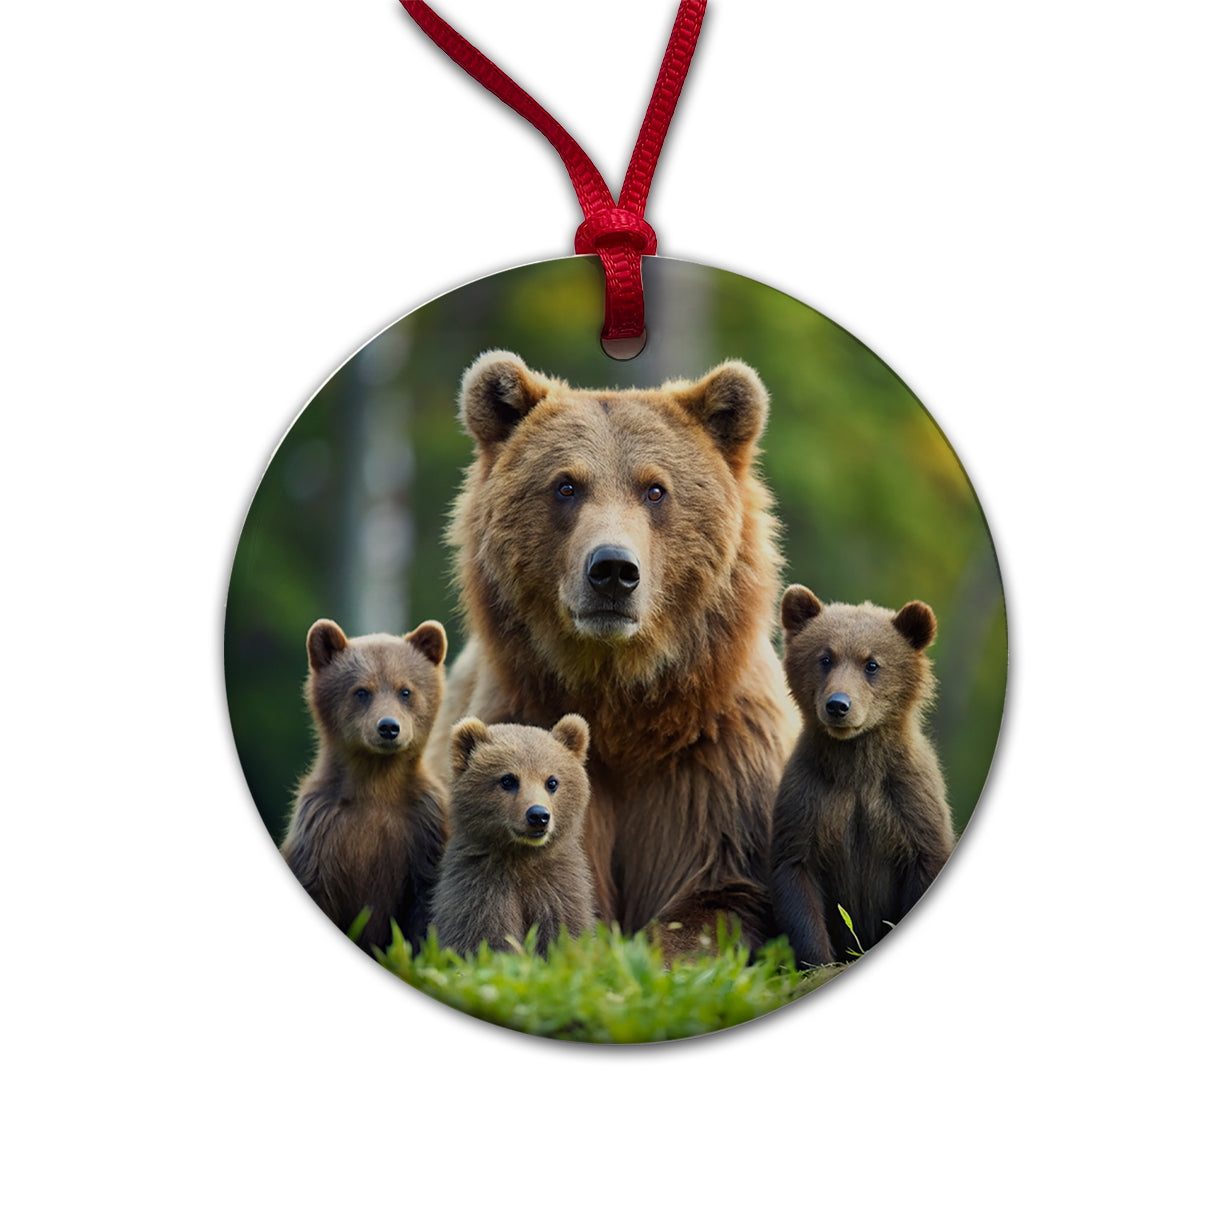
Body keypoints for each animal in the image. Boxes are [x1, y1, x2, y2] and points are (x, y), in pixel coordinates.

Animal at [280, 617, 449, 955]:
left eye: (405, 690)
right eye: (361, 691)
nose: (388, 727)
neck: (376, 783)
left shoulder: (424, 834)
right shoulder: (321, 835)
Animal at [432, 714, 596, 956]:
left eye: (552, 782)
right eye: (508, 779)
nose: (538, 815)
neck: (521, 855)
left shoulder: (558, 890)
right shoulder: (480, 889)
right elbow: (483, 938)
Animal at [770, 585, 956, 966]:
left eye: (872, 664)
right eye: (825, 658)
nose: (838, 705)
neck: (855, 765)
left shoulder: (908, 802)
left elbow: (925, 860)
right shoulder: (808, 800)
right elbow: (796, 878)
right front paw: (818, 960)